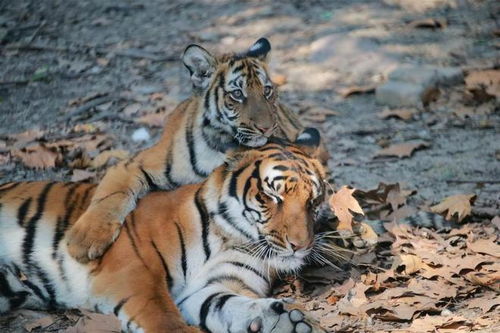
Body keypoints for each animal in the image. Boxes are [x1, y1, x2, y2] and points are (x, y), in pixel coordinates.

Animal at [0, 139, 328, 332]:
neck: (230, 237)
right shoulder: (133, 271)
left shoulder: (211, 287)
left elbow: (228, 305)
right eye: (272, 196)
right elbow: (164, 319)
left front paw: (284, 321)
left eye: (313, 201)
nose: (301, 246)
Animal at [64, 37, 330, 264]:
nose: (266, 127)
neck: (225, 144)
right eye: (237, 94)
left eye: (267, 91)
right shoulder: (132, 164)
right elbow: (110, 195)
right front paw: (83, 241)